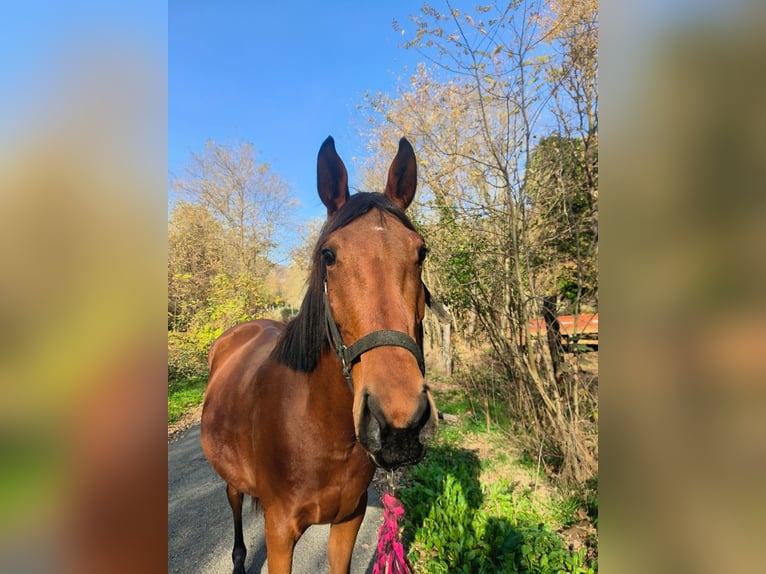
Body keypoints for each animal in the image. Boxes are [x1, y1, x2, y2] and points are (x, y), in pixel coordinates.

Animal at [200, 135, 439, 574]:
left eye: (421, 253)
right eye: (329, 255)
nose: (400, 421)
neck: (318, 428)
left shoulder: (350, 519)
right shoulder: (279, 534)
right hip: (231, 476)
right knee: (234, 500)